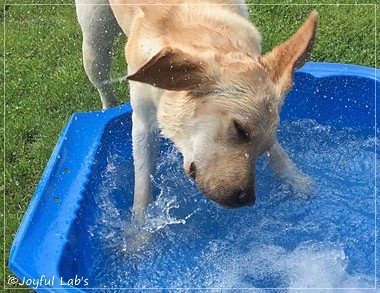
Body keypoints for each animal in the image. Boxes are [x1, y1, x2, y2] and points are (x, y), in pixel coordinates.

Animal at [75, 0, 316, 214]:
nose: (247, 199)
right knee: (103, 82)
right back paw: (106, 110)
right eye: (239, 129)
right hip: (95, 39)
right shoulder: (143, 123)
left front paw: (298, 180)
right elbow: (142, 191)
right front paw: (137, 233)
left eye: (263, 146)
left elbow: (278, 153)